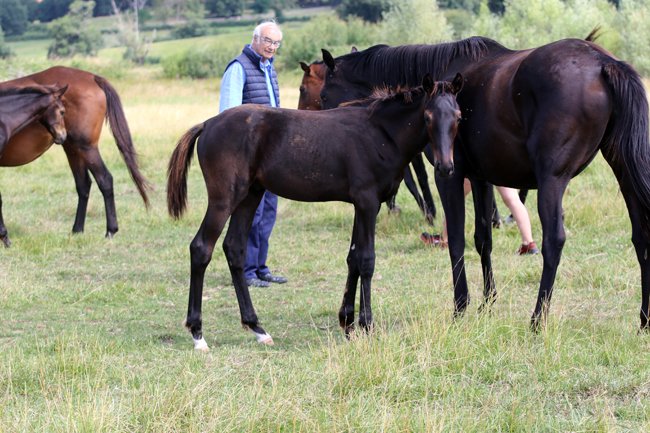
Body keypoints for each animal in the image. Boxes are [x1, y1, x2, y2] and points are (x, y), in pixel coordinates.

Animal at [0, 66, 150, 246]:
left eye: (63, 112)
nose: (61, 135)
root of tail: (93, 77)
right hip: (73, 148)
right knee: (83, 184)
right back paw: (77, 230)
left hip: (86, 147)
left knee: (104, 179)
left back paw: (110, 231)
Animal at [320, 36, 650, 331]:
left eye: (323, 94)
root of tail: (602, 62)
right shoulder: (481, 178)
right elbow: (483, 239)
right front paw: (487, 302)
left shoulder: (449, 176)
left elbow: (456, 240)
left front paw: (460, 307)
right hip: (624, 171)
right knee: (641, 236)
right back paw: (644, 320)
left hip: (552, 181)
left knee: (553, 241)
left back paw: (537, 320)